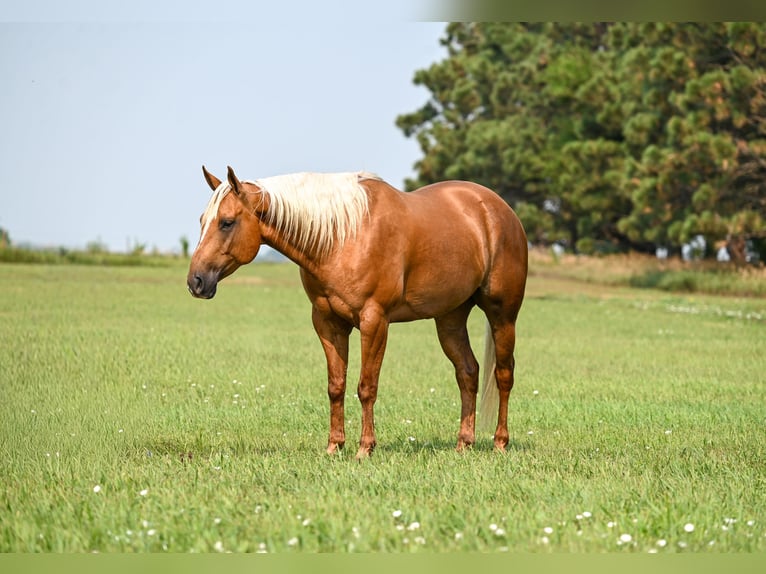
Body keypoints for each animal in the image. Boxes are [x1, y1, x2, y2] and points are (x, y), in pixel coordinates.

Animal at [187, 166, 528, 459]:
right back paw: (464, 443)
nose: (196, 281)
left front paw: (365, 448)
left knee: (504, 374)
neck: (341, 237)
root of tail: (498, 209)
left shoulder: (374, 321)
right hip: (450, 318)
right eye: (202, 220)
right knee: (468, 372)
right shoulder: (327, 322)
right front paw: (334, 446)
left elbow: (366, 386)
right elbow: (336, 386)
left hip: (503, 315)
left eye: (227, 222)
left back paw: (500, 443)